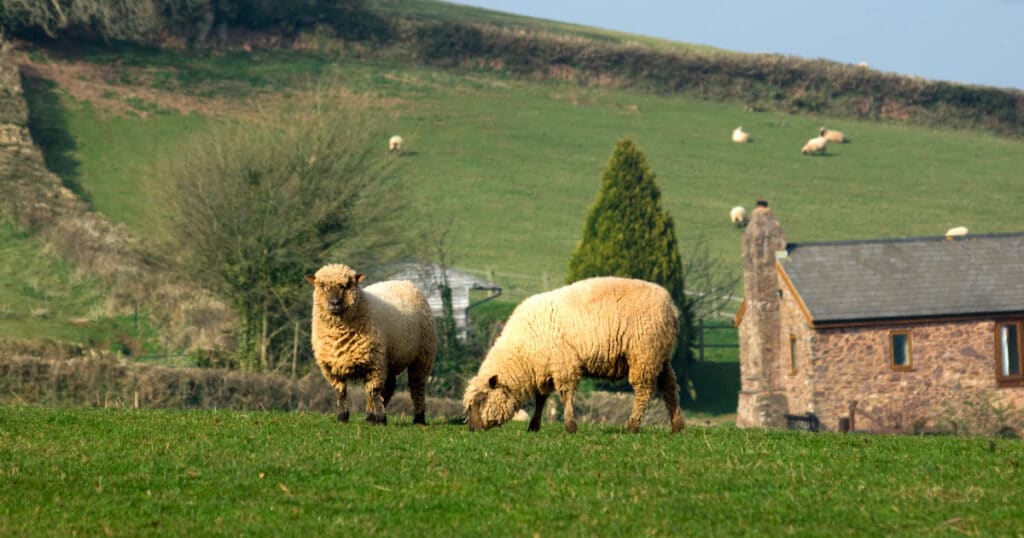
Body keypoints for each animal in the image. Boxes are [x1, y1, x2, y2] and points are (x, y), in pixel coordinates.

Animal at [301, 262, 434, 424]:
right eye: (322, 285)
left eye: (346, 285)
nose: (334, 303)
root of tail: (405, 282)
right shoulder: (332, 365)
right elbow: (341, 391)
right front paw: (342, 417)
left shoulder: (374, 362)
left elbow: (374, 391)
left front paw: (381, 419)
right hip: (389, 358)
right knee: (390, 386)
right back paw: (370, 417)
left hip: (422, 355)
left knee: (417, 385)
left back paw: (418, 418)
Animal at [464, 274, 688, 434]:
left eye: (482, 399)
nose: (472, 429)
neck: (521, 352)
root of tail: (672, 308)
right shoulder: (544, 368)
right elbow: (541, 398)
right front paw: (534, 426)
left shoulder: (563, 364)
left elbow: (566, 395)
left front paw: (570, 427)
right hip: (661, 355)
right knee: (670, 387)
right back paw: (677, 426)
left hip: (644, 354)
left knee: (644, 391)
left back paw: (632, 427)